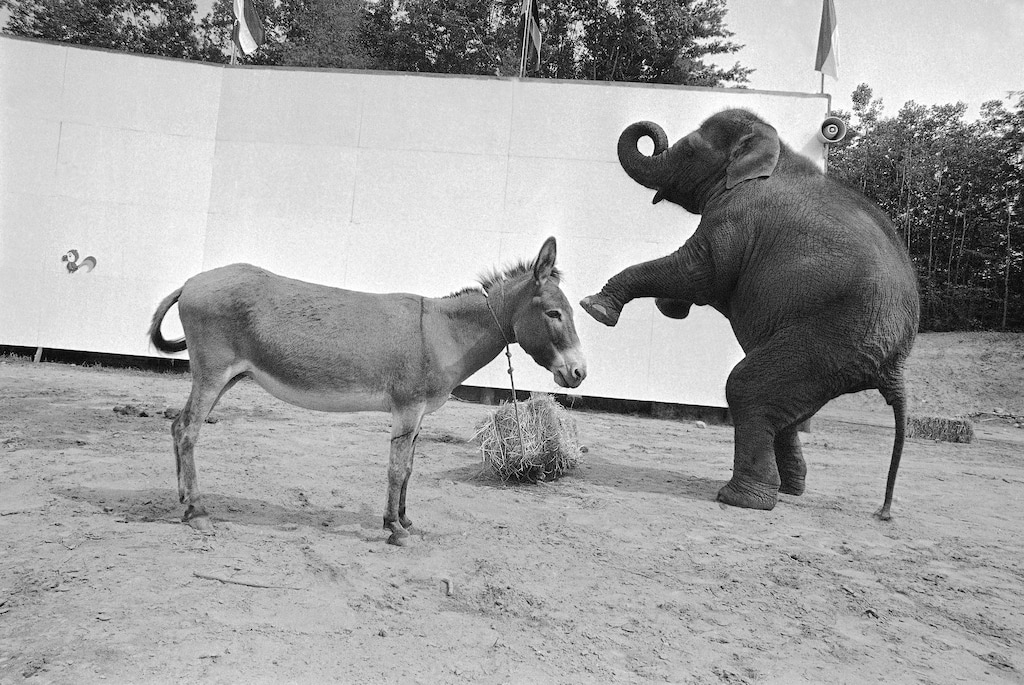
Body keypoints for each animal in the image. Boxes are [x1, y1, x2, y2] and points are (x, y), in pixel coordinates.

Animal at [580, 108, 920, 519]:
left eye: (690, 150)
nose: (652, 136)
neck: (773, 148)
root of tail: (897, 363)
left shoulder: (735, 219)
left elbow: (698, 273)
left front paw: (595, 308)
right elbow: (694, 279)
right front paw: (669, 308)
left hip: (832, 338)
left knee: (746, 389)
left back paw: (740, 498)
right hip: (837, 354)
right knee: (784, 410)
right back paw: (790, 490)